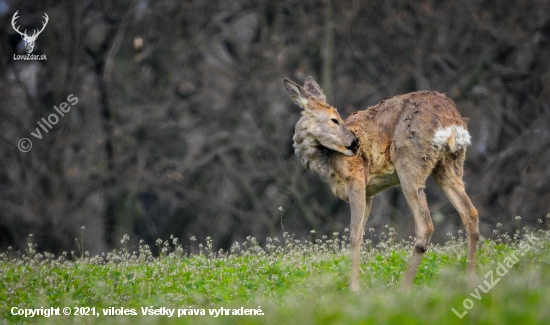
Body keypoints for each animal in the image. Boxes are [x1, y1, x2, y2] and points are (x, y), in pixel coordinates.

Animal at [284, 77, 478, 290]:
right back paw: (469, 279)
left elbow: (354, 235)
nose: (355, 143)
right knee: (470, 213)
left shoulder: (355, 179)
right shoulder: (369, 193)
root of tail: (451, 122)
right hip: (450, 165)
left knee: (426, 225)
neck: (327, 164)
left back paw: (404, 286)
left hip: (410, 163)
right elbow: (361, 232)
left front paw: (354, 287)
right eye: (334, 120)